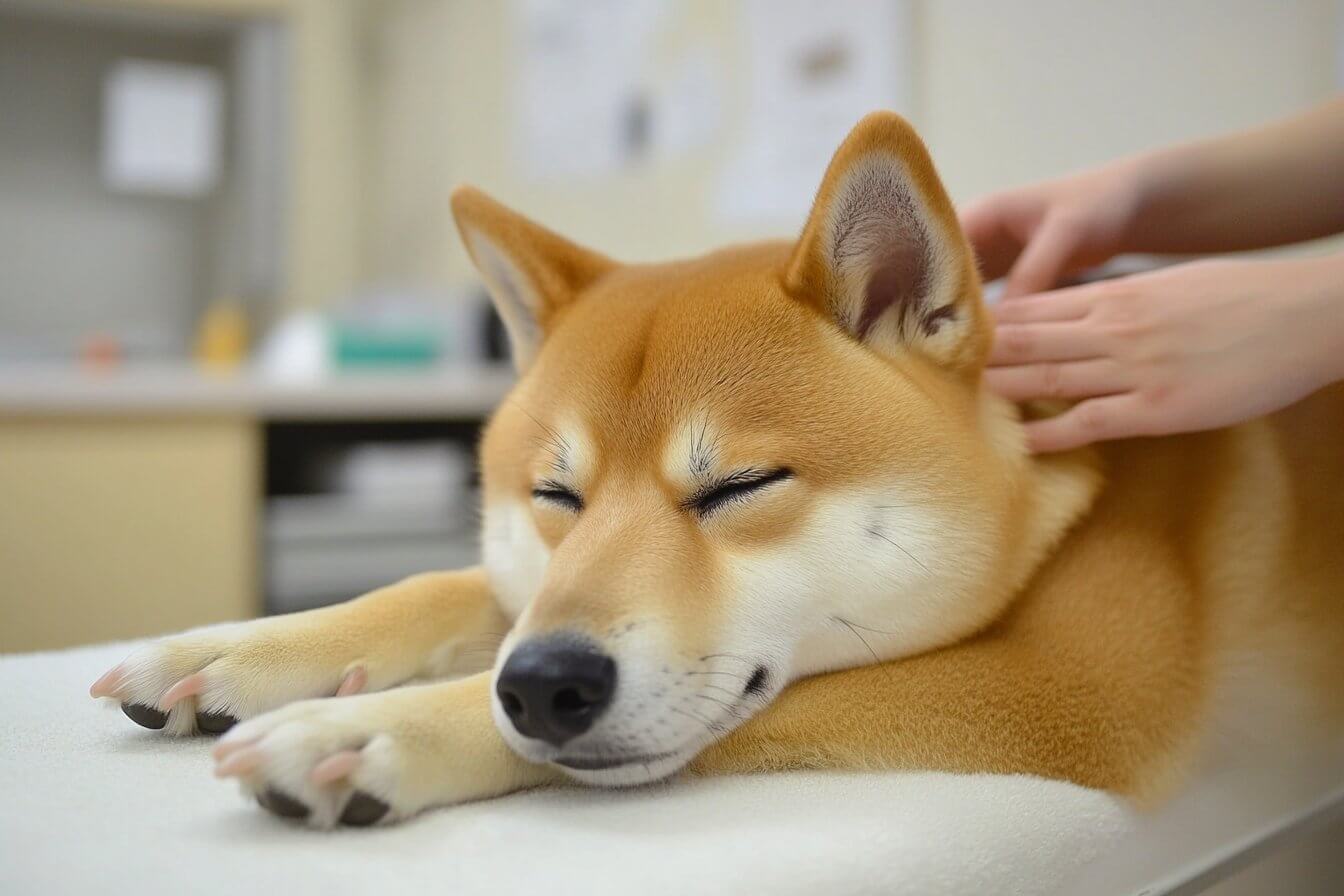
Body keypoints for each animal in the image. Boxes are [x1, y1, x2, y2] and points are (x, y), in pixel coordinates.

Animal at [92, 112, 1344, 827]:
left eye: (738, 487)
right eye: (556, 495)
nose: (542, 680)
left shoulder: (1072, 694)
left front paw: (366, 730)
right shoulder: (528, 585)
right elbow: (442, 588)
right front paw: (231, 651)